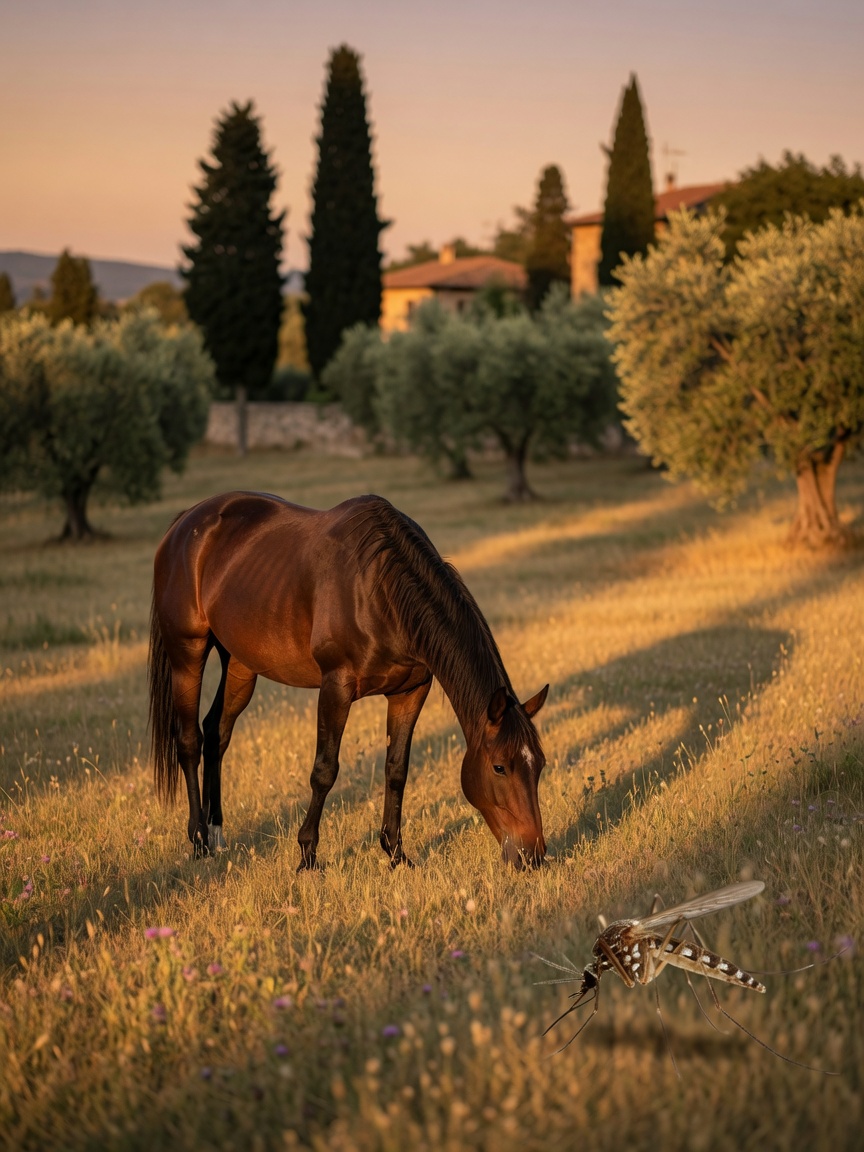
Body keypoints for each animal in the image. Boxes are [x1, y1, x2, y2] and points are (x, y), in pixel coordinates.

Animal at [148, 491, 549, 870]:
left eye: (540, 765)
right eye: (499, 767)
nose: (532, 856)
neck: (379, 589)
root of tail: (185, 522)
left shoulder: (410, 692)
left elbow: (396, 769)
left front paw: (395, 853)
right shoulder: (335, 688)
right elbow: (324, 771)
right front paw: (307, 857)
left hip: (241, 665)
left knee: (217, 733)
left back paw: (217, 833)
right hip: (187, 654)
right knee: (189, 741)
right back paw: (199, 839)